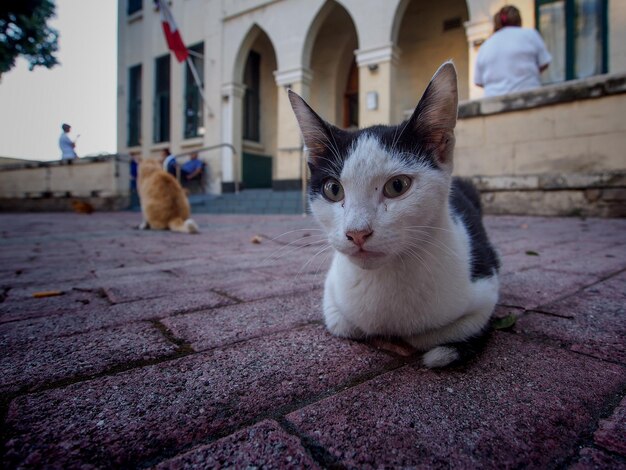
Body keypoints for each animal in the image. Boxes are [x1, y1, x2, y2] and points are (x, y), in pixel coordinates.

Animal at [290, 61, 500, 368]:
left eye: (397, 186)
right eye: (333, 189)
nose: (357, 233)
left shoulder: (487, 285)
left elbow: (443, 332)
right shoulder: (332, 297)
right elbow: (345, 325)